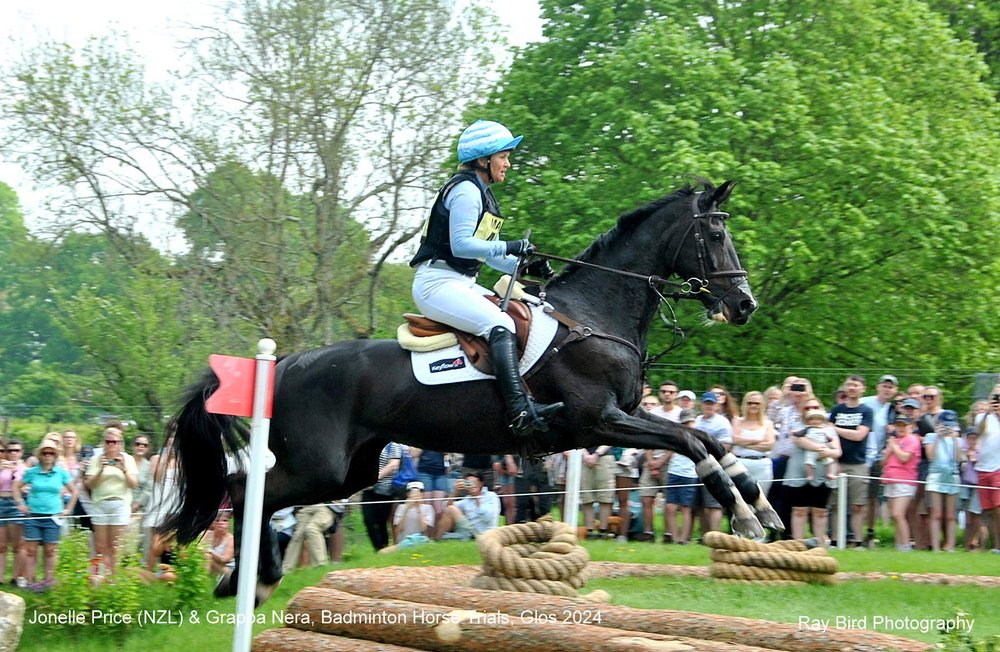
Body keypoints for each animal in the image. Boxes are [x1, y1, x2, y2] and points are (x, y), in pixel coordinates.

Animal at [164, 177, 780, 600]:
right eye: (716, 234)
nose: (744, 305)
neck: (594, 316)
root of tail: (286, 364)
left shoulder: (622, 416)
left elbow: (712, 441)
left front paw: (762, 507)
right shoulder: (598, 420)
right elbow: (693, 443)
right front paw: (744, 516)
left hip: (351, 470)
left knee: (258, 491)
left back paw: (246, 581)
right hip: (320, 465)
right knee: (245, 489)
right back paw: (252, 580)